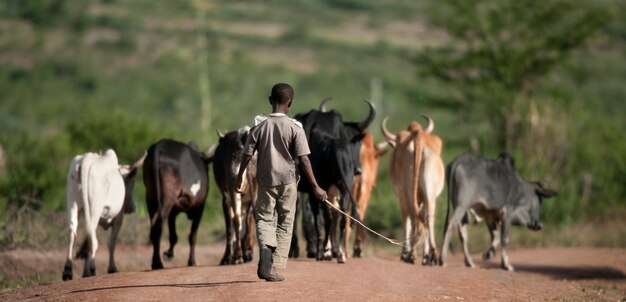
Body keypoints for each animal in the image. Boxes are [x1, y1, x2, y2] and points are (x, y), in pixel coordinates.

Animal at [62, 149, 145, 280]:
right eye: (133, 182)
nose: (133, 207)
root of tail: (87, 159)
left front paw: (84, 272)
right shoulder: (119, 218)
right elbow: (111, 244)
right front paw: (112, 268)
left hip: (73, 204)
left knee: (73, 232)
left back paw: (68, 270)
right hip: (95, 208)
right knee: (93, 240)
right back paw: (92, 268)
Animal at [141, 139, 210, 268]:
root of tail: (158, 147)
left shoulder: (174, 211)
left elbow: (173, 236)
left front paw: (169, 253)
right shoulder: (200, 207)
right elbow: (192, 236)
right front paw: (191, 261)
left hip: (150, 195)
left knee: (154, 224)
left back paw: (155, 261)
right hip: (169, 195)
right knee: (159, 222)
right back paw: (157, 263)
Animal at [290, 98, 372, 262]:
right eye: (357, 143)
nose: (358, 170)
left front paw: (325, 249)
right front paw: (329, 250)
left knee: (315, 215)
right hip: (337, 190)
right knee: (335, 216)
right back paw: (334, 252)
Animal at [380, 115, 444, 264]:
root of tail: (417, 136)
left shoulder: (401, 196)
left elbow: (406, 220)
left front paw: (405, 252)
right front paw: (425, 255)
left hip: (409, 192)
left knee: (414, 216)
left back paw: (411, 254)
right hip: (429, 193)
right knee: (428, 217)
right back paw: (431, 254)